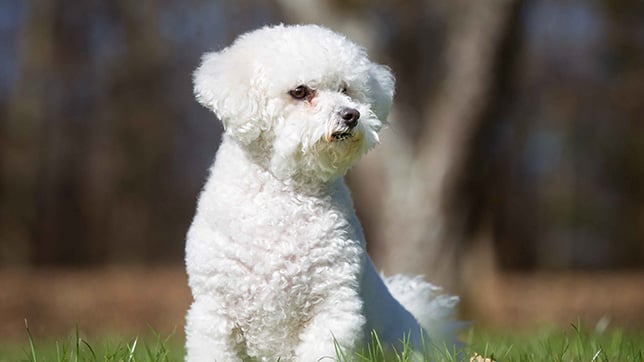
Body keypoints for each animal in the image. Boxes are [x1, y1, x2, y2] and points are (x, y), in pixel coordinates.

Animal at [184, 24, 460, 360]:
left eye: (345, 89)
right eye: (300, 91)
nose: (351, 114)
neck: (285, 194)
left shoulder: (332, 305)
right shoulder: (215, 310)